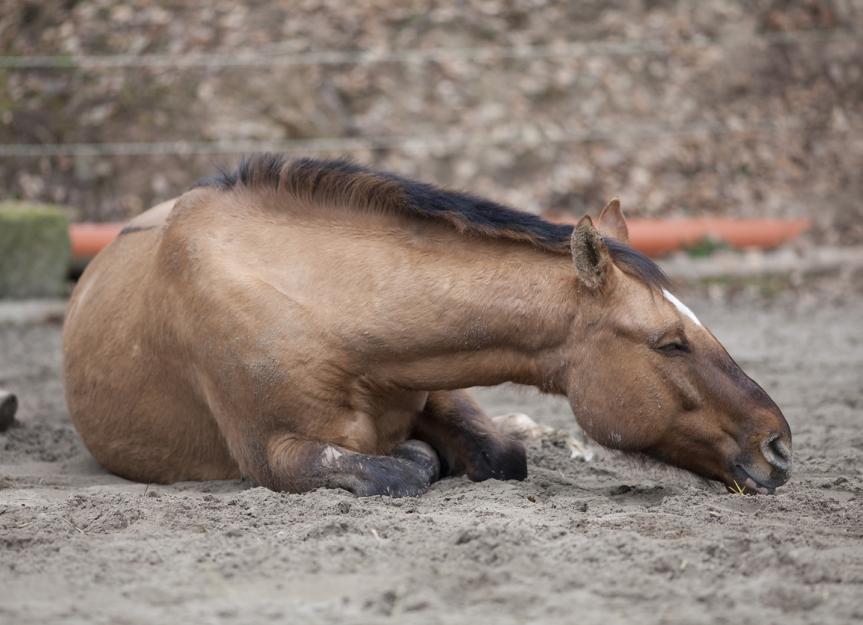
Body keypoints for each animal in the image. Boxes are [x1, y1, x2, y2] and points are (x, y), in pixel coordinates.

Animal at [63, 155, 792, 496]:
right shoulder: (274, 454)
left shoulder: (439, 381)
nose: (778, 446)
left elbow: (501, 453)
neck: (325, 307)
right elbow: (401, 468)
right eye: (669, 342)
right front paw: (420, 457)